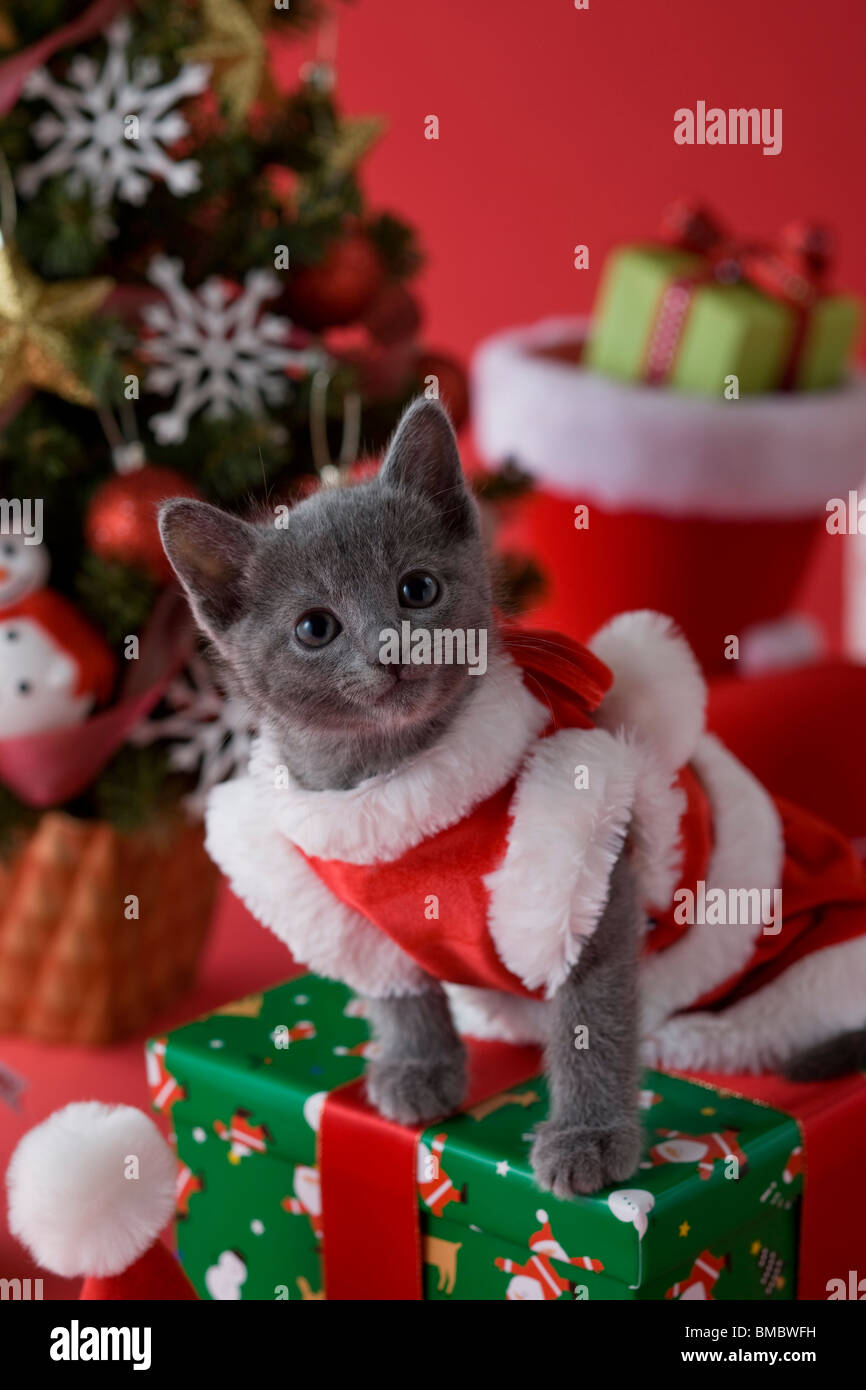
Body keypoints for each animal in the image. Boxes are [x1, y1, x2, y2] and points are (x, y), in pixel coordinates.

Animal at [159, 400, 644, 1195]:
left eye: (417, 589)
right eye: (315, 627)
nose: (390, 649)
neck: (407, 782)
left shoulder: (588, 882)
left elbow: (591, 1019)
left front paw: (589, 1135)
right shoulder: (368, 911)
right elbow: (400, 991)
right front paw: (418, 1066)